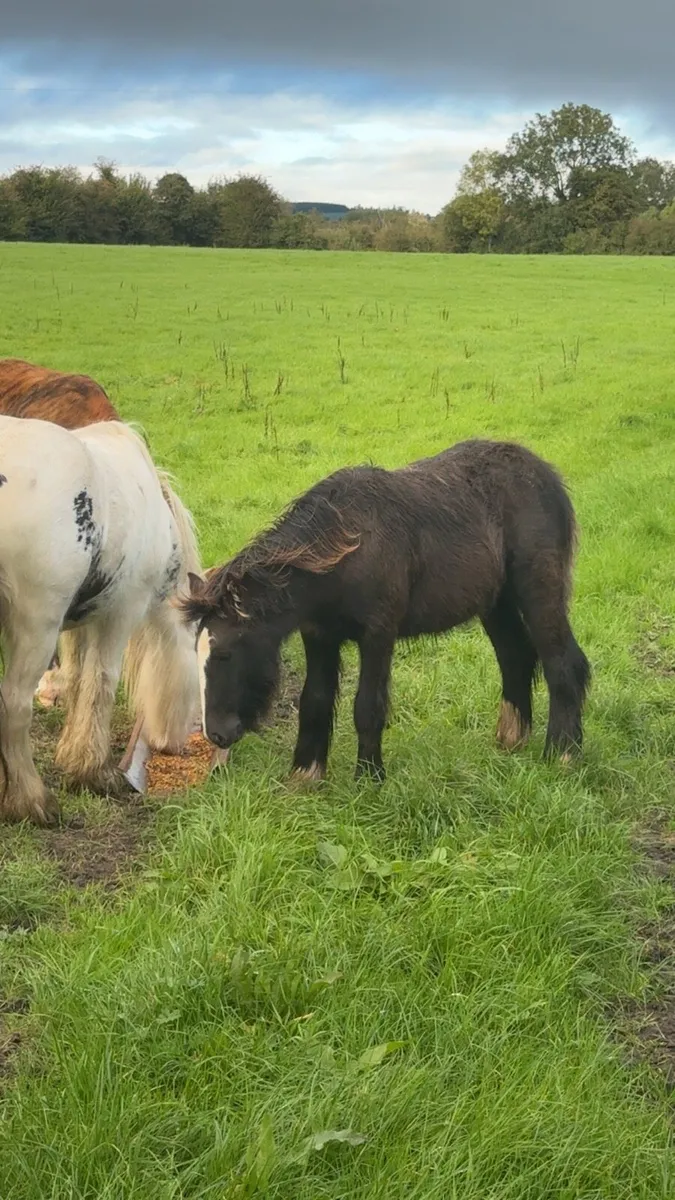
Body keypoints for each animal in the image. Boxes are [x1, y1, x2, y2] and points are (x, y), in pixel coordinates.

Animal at [0, 415, 201, 824]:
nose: (177, 744)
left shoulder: (80, 621)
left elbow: (77, 680)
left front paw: (70, 755)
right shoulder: (121, 612)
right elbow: (101, 682)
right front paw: (94, 772)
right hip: (35, 628)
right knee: (14, 704)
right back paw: (32, 802)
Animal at [180, 439, 590, 782]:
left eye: (226, 653)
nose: (217, 734)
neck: (345, 545)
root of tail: (549, 478)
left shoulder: (378, 634)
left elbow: (367, 706)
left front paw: (369, 779)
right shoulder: (319, 637)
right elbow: (314, 701)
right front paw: (305, 776)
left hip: (538, 592)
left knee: (562, 663)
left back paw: (562, 754)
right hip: (496, 602)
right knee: (516, 657)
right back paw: (511, 739)